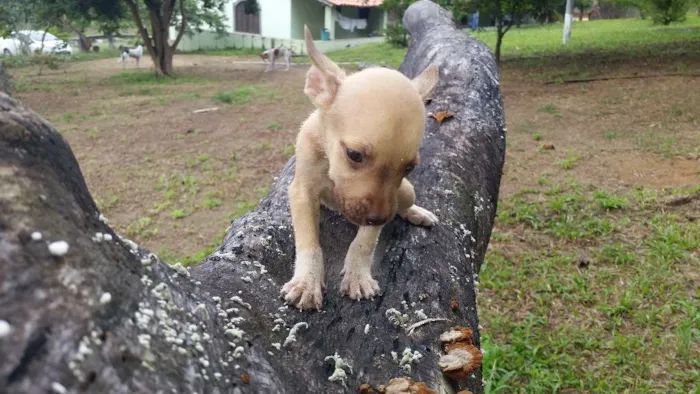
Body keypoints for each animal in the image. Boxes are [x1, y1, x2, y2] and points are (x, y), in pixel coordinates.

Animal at [282, 26, 440, 310]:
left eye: (409, 167)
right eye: (354, 155)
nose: (379, 218)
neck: (328, 162)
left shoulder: (382, 205)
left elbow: (364, 242)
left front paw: (357, 273)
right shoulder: (301, 192)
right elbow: (309, 241)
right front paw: (307, 281)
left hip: (406, 192)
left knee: (404, 205)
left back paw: (416, 213)